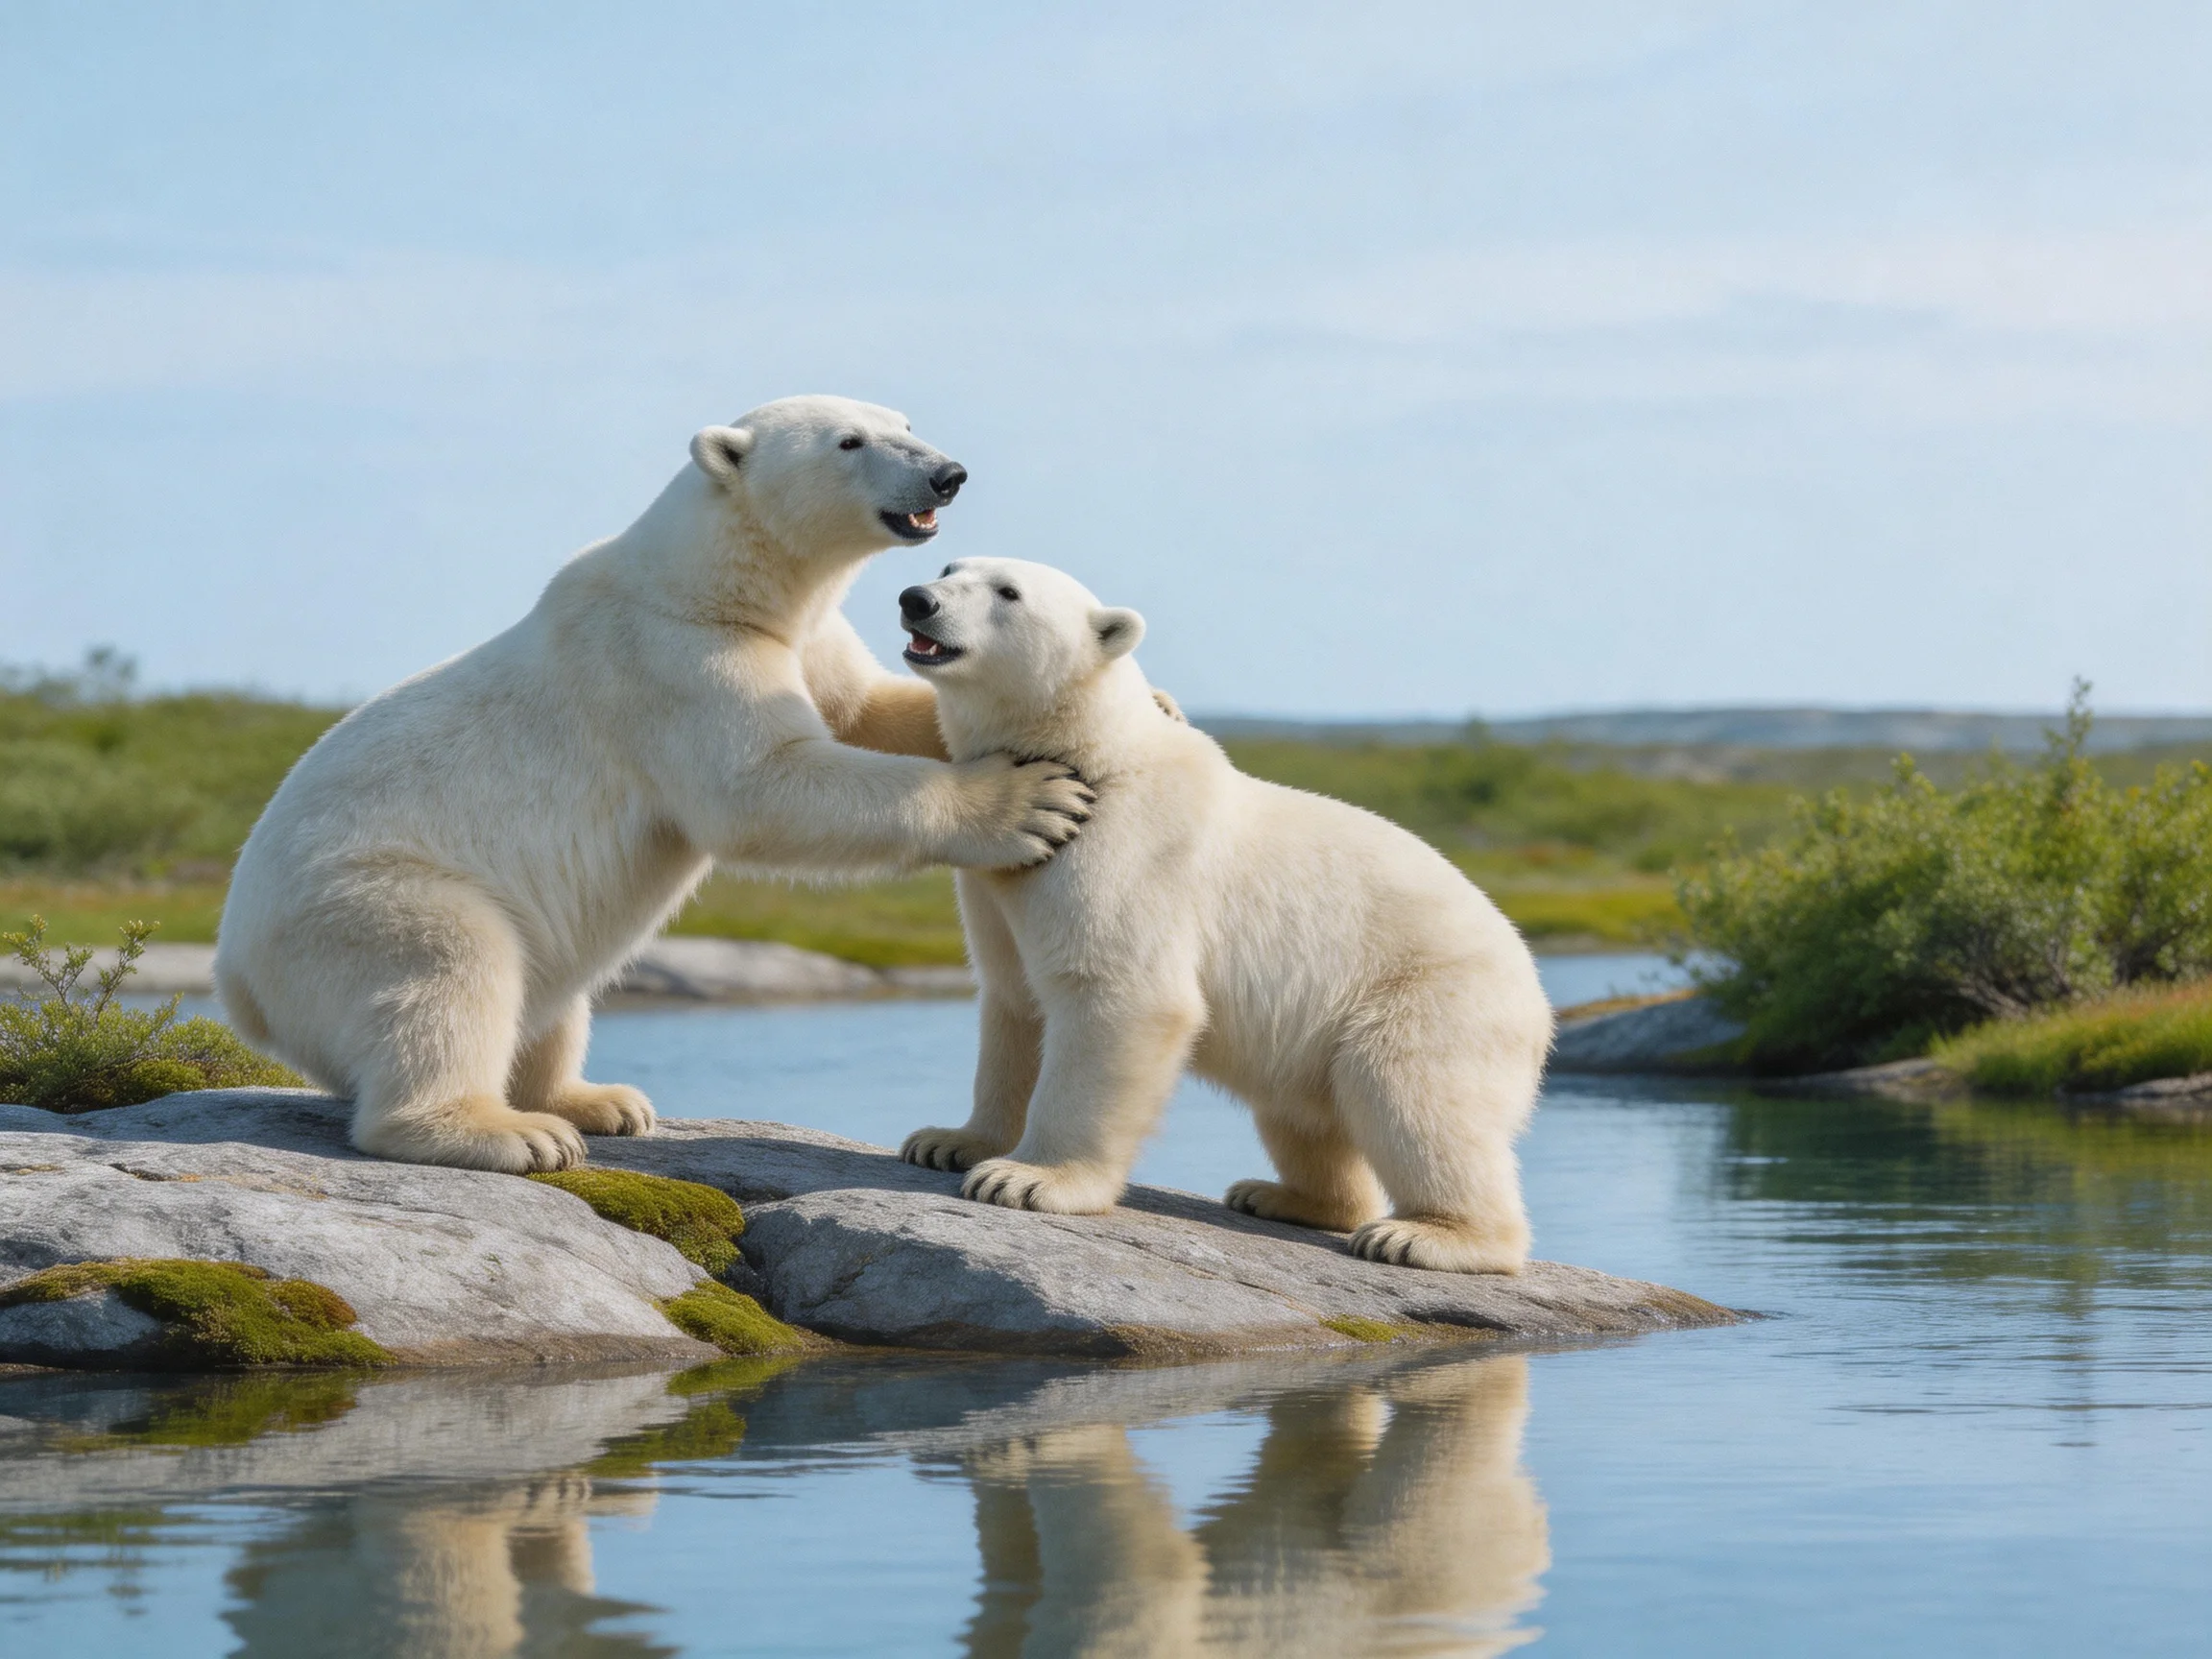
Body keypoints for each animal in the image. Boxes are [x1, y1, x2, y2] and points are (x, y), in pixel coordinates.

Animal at [216, 397, 1094, 1175]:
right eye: (849, 441)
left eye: (905, 422)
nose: (948, 474)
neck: (708, 582)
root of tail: (237, 982)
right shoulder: (673, 662)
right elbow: (762, 788)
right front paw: (1032, 803)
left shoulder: (804, 641)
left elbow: (869, 709)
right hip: (358, 907)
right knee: (449, 968)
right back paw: (505, 1131)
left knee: (552, 988)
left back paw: (593, 1099)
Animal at [896, 558, 1553, 1273]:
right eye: (949, 568)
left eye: (1008, 592)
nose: (917, 599)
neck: (1092, 758)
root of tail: (1538, 998)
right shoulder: (1003, 875)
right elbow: (1014, 1004)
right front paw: (949, 1140)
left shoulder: (1129, 853)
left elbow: (1119, 996)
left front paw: (1028, 1178)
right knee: (1305, 1116)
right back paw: (1279, 1195)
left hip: (1433, 998)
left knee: (1410, 1093)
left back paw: (1426, 1234)